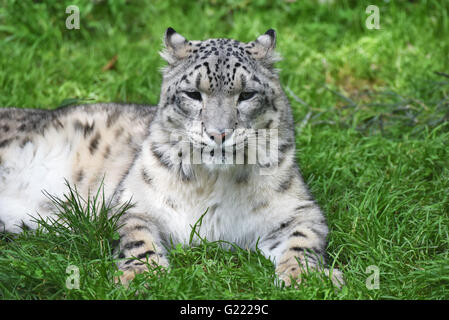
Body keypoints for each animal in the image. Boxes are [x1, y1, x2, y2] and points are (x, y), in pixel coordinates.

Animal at [0, 27, 344, 288]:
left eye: (246, 95)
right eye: (193, 94)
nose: (219, 133)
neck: (213, 185)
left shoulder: (297, 209)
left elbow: (302, 239)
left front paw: (305, 277)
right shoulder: (134, 204)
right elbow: (138, 238)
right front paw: (142, 276)